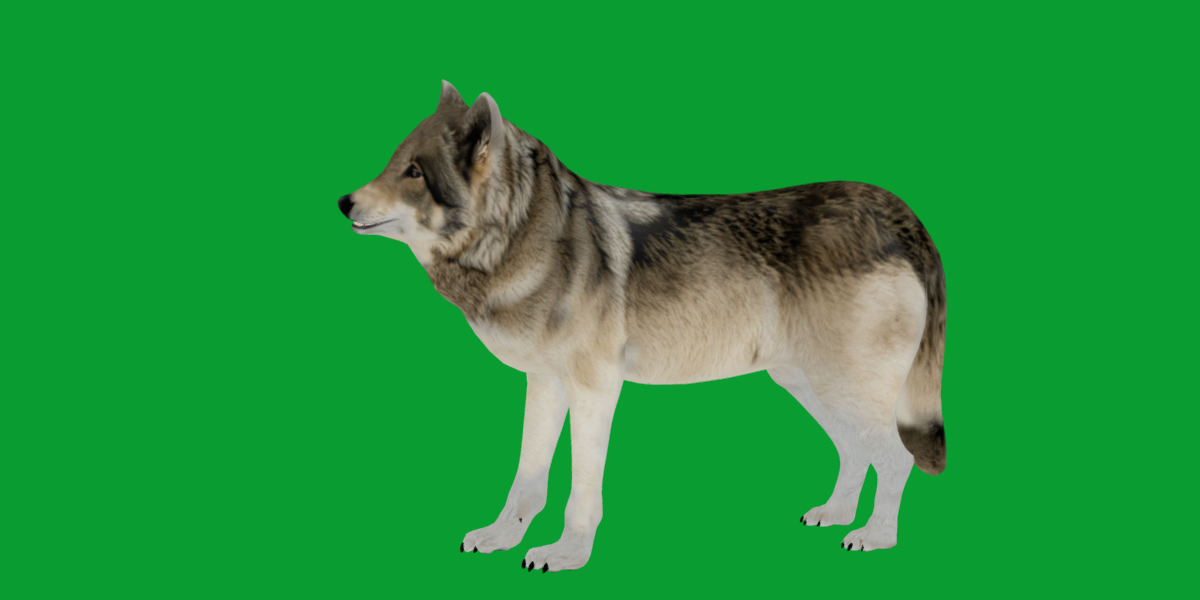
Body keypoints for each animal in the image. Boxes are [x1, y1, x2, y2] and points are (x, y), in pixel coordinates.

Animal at [337, 81, 947, 572]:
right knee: (858, 453)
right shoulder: (545, 385)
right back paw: (837, 515)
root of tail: (898, 213)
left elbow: (580, 493)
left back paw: (875, 537)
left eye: (415, 173)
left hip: (843, 390)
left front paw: (566, 555)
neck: (523, 236)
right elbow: (526, 481)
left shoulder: (595, 390)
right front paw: (500, 538)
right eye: (394, 163)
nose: (343, 202)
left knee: (895, 458)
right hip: (810, 387)